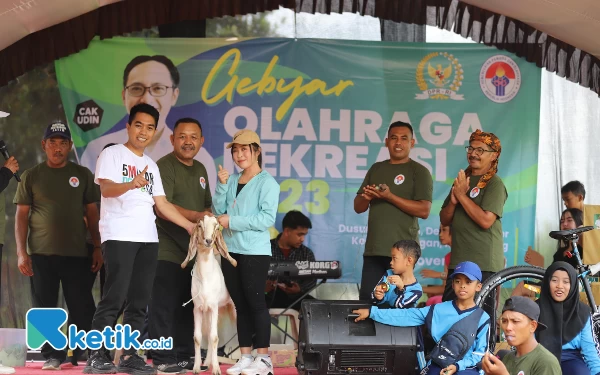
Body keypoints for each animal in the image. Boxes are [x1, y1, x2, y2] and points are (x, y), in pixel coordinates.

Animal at [182, 216, 238, 375]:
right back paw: (207, 362)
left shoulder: (213, 307)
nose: (208, 241)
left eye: (216, 226)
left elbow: (214, 337)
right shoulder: (198, 308)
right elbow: (198, 337)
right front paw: (196, 368)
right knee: (208, 333)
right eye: (200, 225)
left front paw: (217, 369)